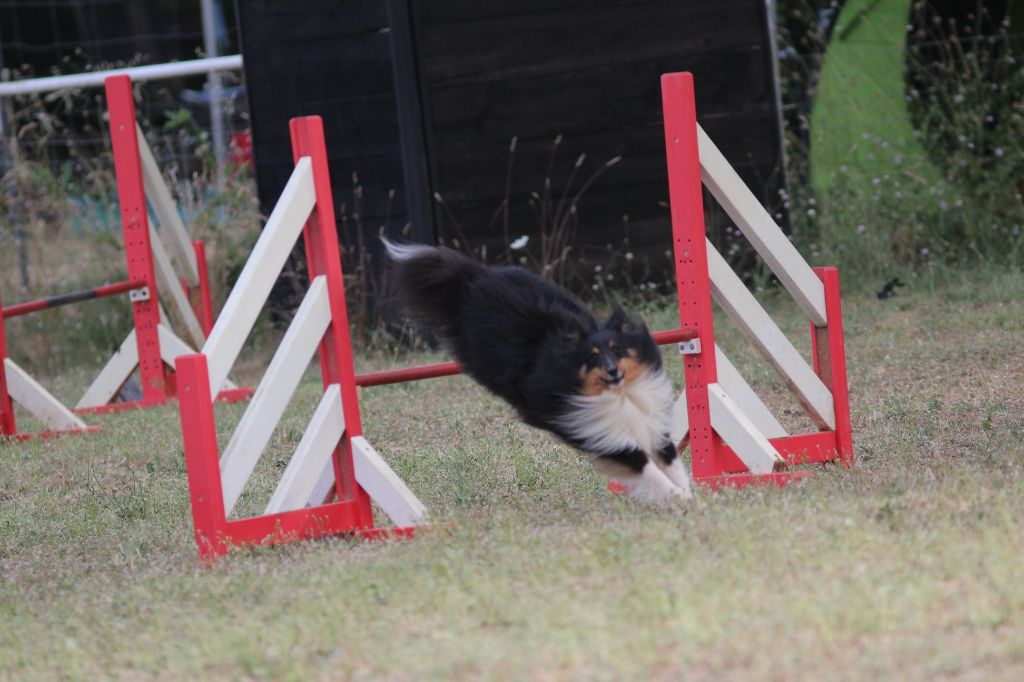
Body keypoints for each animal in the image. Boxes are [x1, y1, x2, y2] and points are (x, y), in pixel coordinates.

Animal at [385, 238, 696, 503]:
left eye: (616, 349)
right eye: (592, 358)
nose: (611, 371)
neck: (618, 394)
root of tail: (474, 278)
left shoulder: (652, 425)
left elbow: (670, 462)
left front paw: (688, 494)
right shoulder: (602, 436)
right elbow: (647, 469)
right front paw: (678, 497)